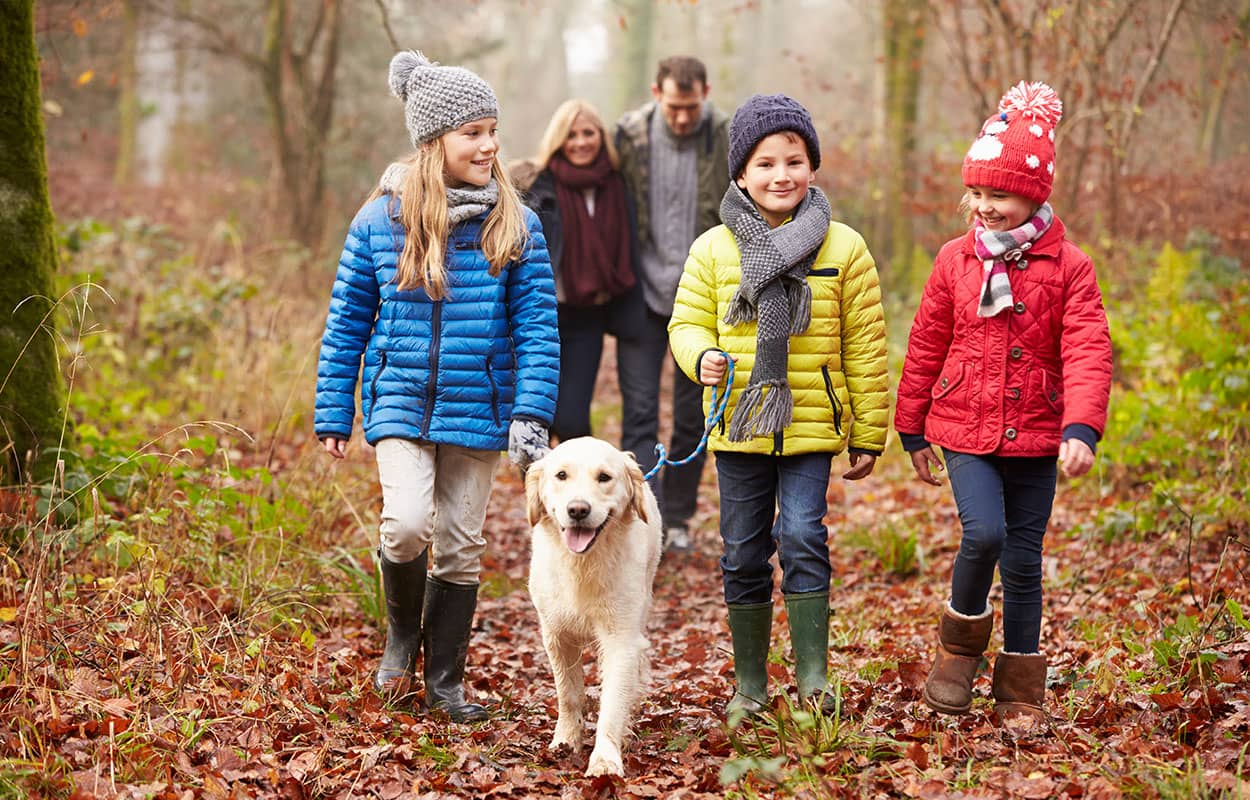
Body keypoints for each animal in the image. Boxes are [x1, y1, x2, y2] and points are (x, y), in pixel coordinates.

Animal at [522, 435, 665, 780]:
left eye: (604, 477)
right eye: (561, 475)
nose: (577, 510)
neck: (582, 563)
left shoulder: (621, 638)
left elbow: (612, 702)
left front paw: (605, 760)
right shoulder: (556, 635)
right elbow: (569, 694)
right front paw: (565, 741)